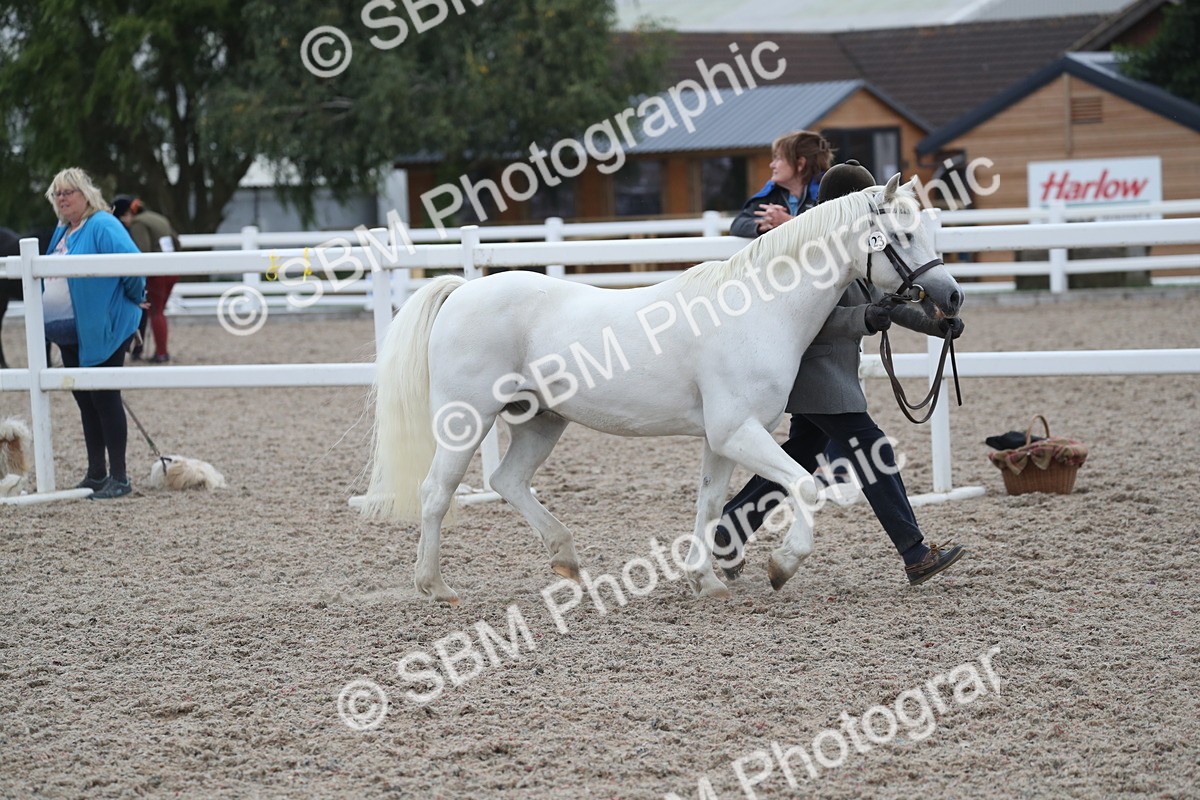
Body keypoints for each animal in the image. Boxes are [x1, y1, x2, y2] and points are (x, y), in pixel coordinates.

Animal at [363, 175, 964, 604]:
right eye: (902, 235)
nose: (952, 297)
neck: (759, 309)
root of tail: (462, 290)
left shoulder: (724, 438)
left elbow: (710, 501)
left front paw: (708, 580)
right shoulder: (737, 432)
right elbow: (804, 486)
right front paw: (781, 566)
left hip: (541, 420)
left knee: (506, 480)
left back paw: (567, 560)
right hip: (467, 418)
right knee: (437, 492)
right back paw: (435, 586)